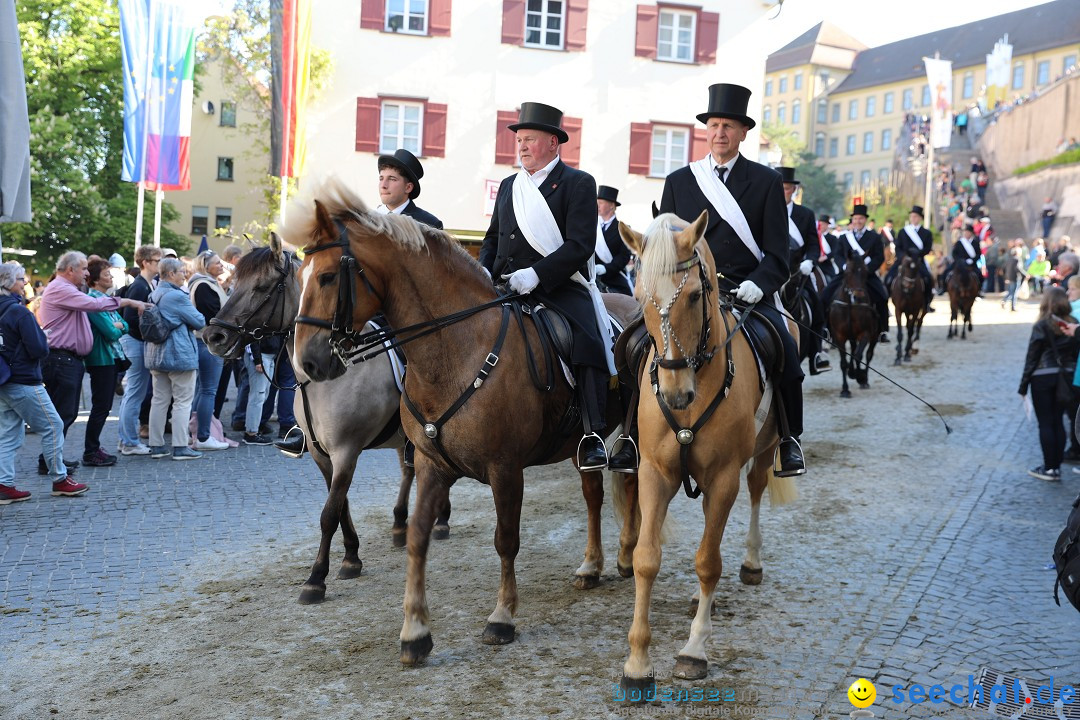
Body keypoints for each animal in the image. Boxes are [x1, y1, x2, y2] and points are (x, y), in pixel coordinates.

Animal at [203, 236, 451, 608]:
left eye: (261, 286)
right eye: (232, 283)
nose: (213, 337)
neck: (324, 378)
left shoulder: (346, 451)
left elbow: (329, 513)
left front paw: (316, 579)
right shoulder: (323, 454)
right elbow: (341, 505)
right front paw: (351, 558)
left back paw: (440, 521)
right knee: (409, 472)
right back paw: (399, 525)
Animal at [289, 179, 639, 664]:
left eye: (325, 277)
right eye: (297, 278)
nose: (307, 362)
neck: (453, 349)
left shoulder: (505, 469)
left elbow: (506, 539)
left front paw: (502, 618)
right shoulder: (431, 465)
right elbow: (417, 536)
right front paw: (415, 632)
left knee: (632, 484)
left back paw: (630, 556)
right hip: (581, 443)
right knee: (593, 493)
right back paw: (592, 566)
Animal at [613, 212, 799, 690]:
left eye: (695, 296)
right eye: (639, 297)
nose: (676, 394)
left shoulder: (722, 478)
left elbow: (708, 562)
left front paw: (694, 650)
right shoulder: (654, 473)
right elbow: (646, 559)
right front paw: (637, 661)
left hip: (763, 450)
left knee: (755, 490)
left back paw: (750, 562)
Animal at [825, 253, 876, 399]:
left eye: (866, 272)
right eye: (847, 272)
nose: (858, 296)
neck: (850, 306)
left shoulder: (865, 333)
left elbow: (859, 356)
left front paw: (859, 375)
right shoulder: (839, 336)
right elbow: (844, 363)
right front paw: (845, 390)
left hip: (874, 336)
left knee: (868, 355)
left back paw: (864, 379)